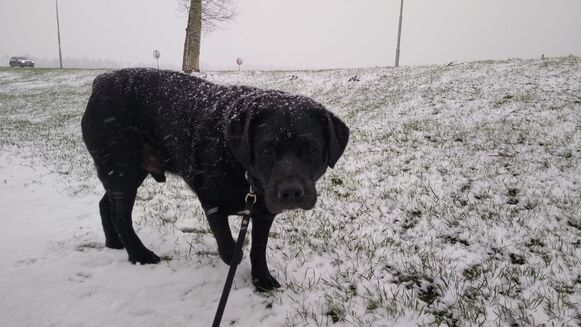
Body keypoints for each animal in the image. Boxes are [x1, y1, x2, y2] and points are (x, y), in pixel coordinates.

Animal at [80, 68, 350, 290]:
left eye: (310, 149)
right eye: (266, 149)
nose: (291, 192)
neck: (241, 167)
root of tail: (100, 81)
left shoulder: (264, 211)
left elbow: (258, 248)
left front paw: (262, 280)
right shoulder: (212, 201)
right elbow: (230, 246)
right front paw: (234, 260)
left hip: (129, 172)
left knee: (106, 204)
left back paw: (114, 242)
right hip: (121, 168)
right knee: (120, 215)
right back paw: (139, 254)